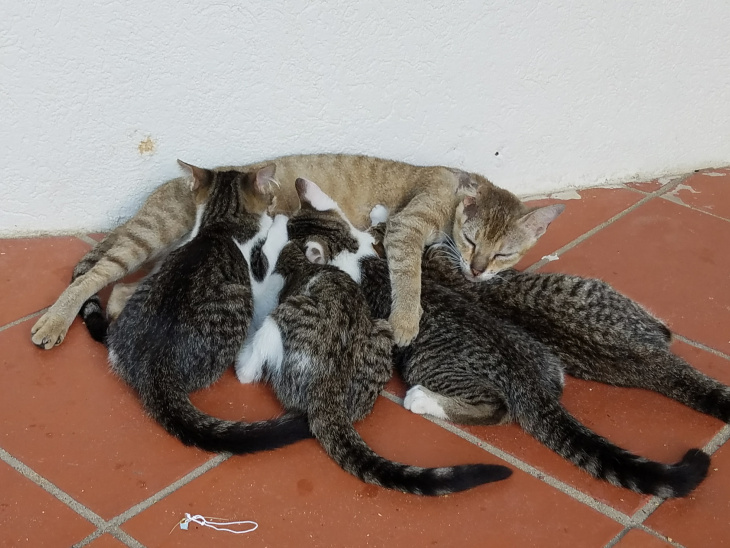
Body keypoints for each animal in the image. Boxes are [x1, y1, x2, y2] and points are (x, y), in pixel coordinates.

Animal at [31, 153, 564, 349]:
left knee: (123, 293)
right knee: (94, 276)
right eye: (473, 241)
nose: (477, 270)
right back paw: (54, 321)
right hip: (148, 236)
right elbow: (407, 273)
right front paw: (408, 319)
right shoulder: (407, 226)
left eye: (504, 254)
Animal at [103, 161, 311, 454]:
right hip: (239, 301)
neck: (220, 224)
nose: (273, 203)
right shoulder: (258, 274)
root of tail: (154, 370)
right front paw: (277, 222)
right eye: (270, 198)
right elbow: (270, 241)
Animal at [234, 178, 512, 496]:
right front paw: (381, 214)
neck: (349, 249)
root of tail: (328, 388)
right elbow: (386, 231)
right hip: (380, 330)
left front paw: (274, 226)